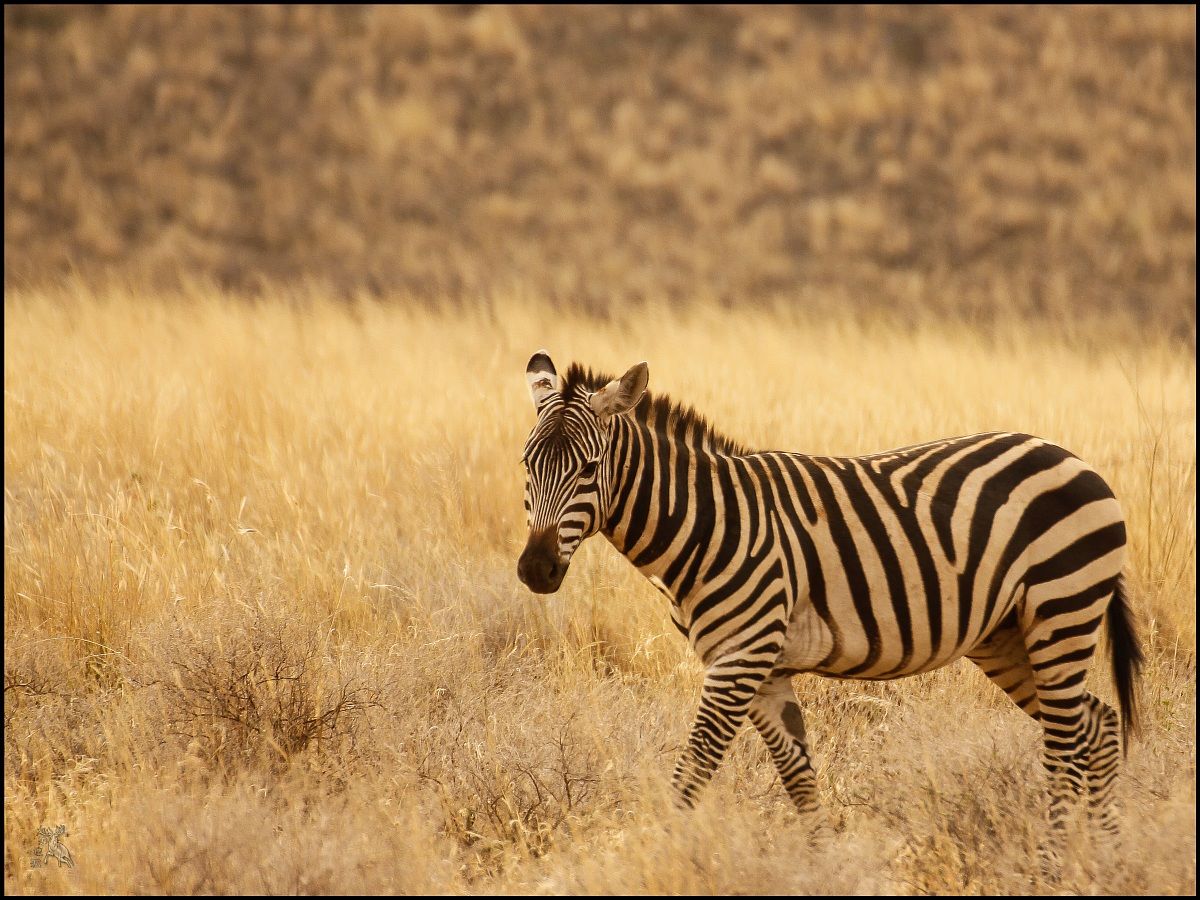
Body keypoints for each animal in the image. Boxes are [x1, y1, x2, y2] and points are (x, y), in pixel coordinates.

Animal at [517, 350, 1143, 873]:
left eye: (588, 470)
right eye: (526, 468)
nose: (534, 570)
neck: (707, 523)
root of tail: (1071, 457)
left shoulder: (739, 658)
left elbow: (692, 772)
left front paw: (660, 857)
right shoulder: (761, 666)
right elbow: (797, 775)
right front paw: (821, 864)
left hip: (1061, 609)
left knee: (1065, 745)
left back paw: (1052, 867)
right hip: (1008, 635)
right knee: (1098, 726)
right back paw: (1109, 857)